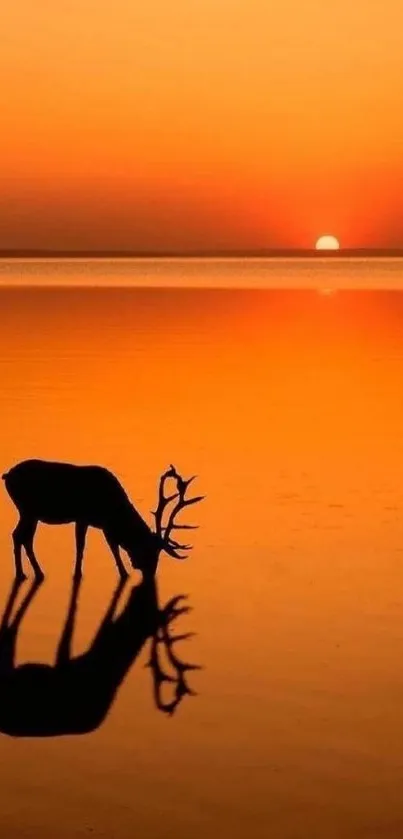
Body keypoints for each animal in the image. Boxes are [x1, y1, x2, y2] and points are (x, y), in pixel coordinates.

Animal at [0, 460, 202, 584]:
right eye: (151, 551)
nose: (150, 575)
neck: (113, 510)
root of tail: (7, 476)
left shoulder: (104, 525)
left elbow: (113, 547)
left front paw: (123, 573)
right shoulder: (83, 517)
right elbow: (81, 546)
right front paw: (78, 574)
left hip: (29, 513)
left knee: (22, 537)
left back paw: (32, 573)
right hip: (28, 510)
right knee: (20, 536)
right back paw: (26, 573)